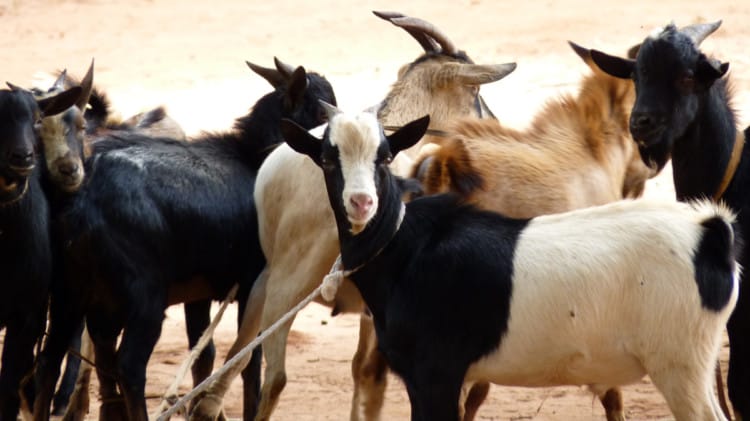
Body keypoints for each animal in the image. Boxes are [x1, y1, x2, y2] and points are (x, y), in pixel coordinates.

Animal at [29, 59, 334, 420]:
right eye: (322, 109)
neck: (252, 159)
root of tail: (83, 200)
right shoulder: (254, 283)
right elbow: (247, 358)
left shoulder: (198, 294)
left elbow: (204, 355)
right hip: (143, 298)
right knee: (128, 365)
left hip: (71, 291)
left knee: (52, 358)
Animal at [280, 102, 740, 420]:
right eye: (327, 158)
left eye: (385, 156)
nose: (361, 203)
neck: (406, 247)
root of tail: (708, 230)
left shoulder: (435, 374)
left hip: (679, 365)